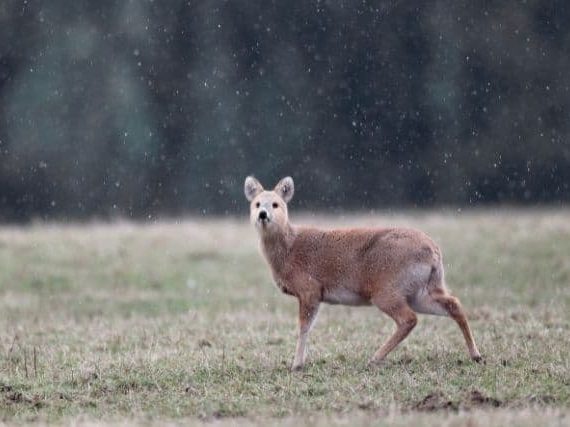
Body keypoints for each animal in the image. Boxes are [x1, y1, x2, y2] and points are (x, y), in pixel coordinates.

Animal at [244, 176, 480, 372]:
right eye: (256, 204)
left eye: (276, 204)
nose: (263, 215)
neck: (289, 249)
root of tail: (434, 251)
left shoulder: (310, 288)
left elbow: (303, 327)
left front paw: (296, 365)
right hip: (420, 291)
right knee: (453, 304)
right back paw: (475, 355)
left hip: (387, 289)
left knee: (409, 319)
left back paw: (374, 358)